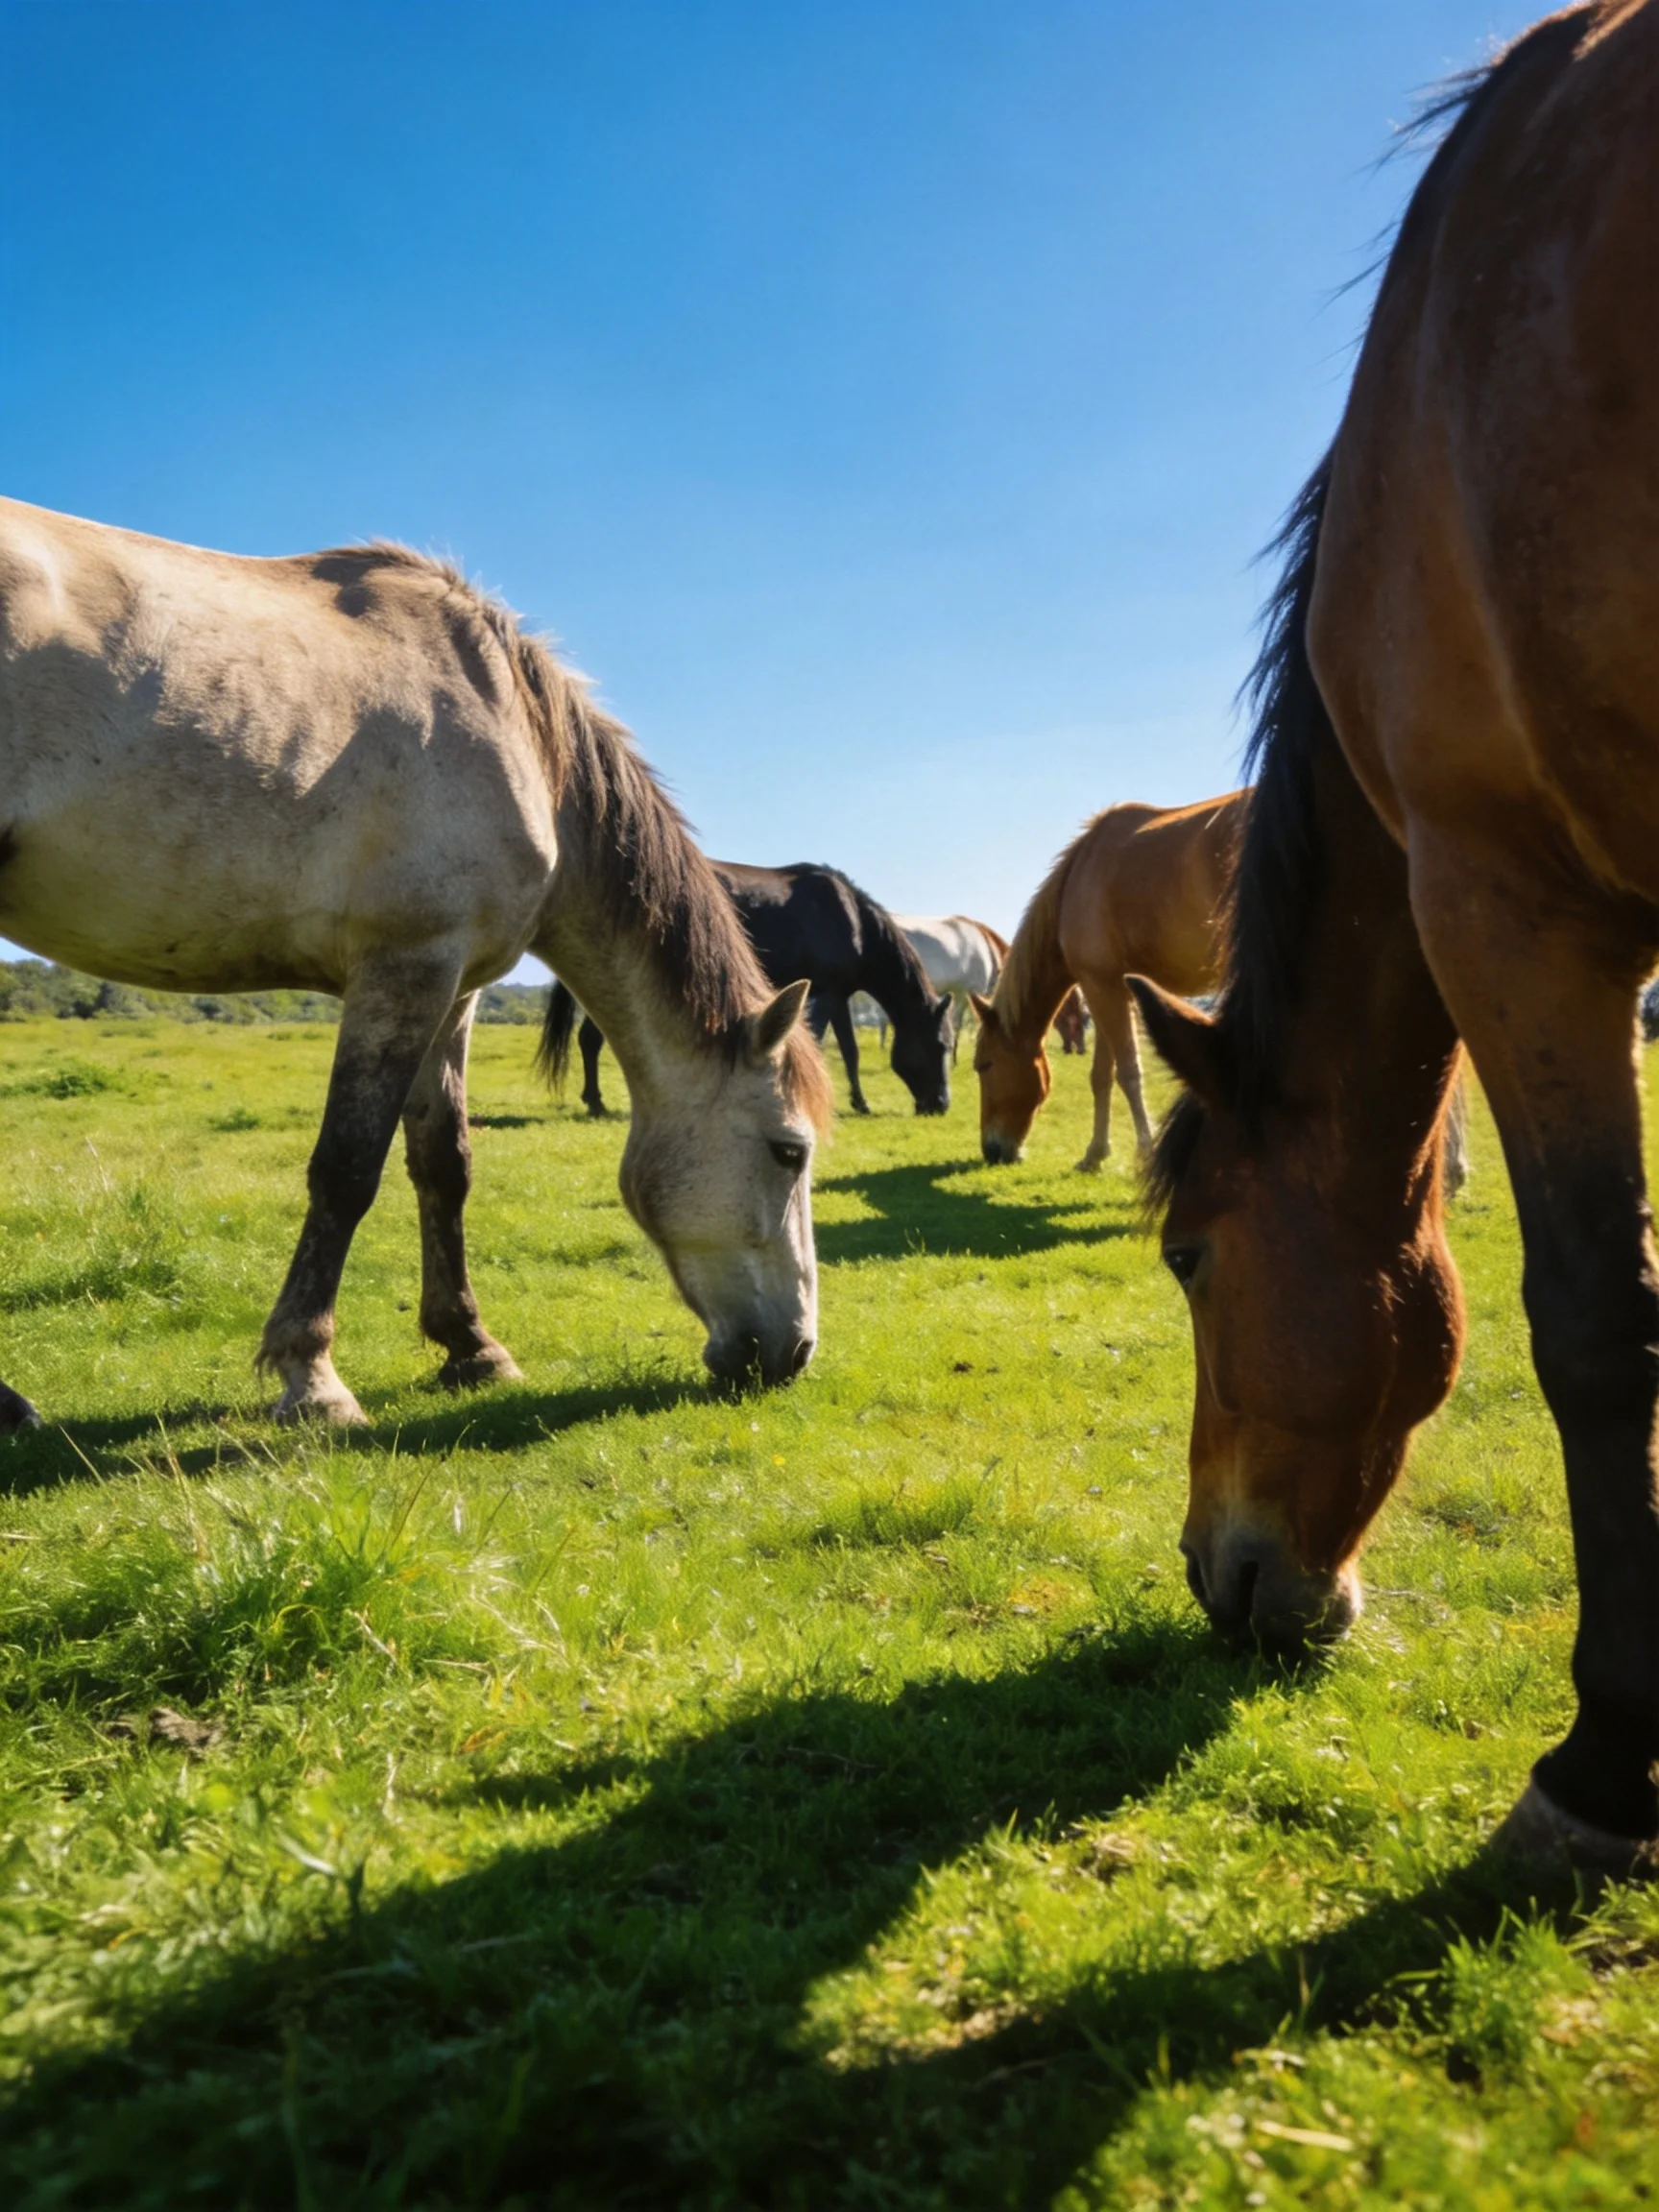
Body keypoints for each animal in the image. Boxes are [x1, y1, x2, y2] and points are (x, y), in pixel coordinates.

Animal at [0, 497, 832, 1428]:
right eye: (790, 1152)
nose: (795, 1353)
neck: (520, 737)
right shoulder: (404, 970)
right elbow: (347, 1169)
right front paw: (312, 1378)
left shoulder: (453, 990)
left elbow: (445, 1166)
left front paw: (471, 1346)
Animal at [555, 864, 953, 1118]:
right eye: (941, 1046)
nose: (941, 1104)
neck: (853, 920)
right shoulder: (823, 994)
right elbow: (817, 1043)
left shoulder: (838, 995)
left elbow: (850, 1052)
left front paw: (861, 1102)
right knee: (592, 1038)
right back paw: (596, 1102)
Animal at [972, 794, 1248, 1170]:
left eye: (984, 1066)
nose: (992, 1151)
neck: (1077, 878)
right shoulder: (1106, 988)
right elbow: (1101, 1075)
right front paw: (1095, 1153)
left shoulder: (1102, 988)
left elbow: (1128, 1073)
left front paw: (1147, 1151)